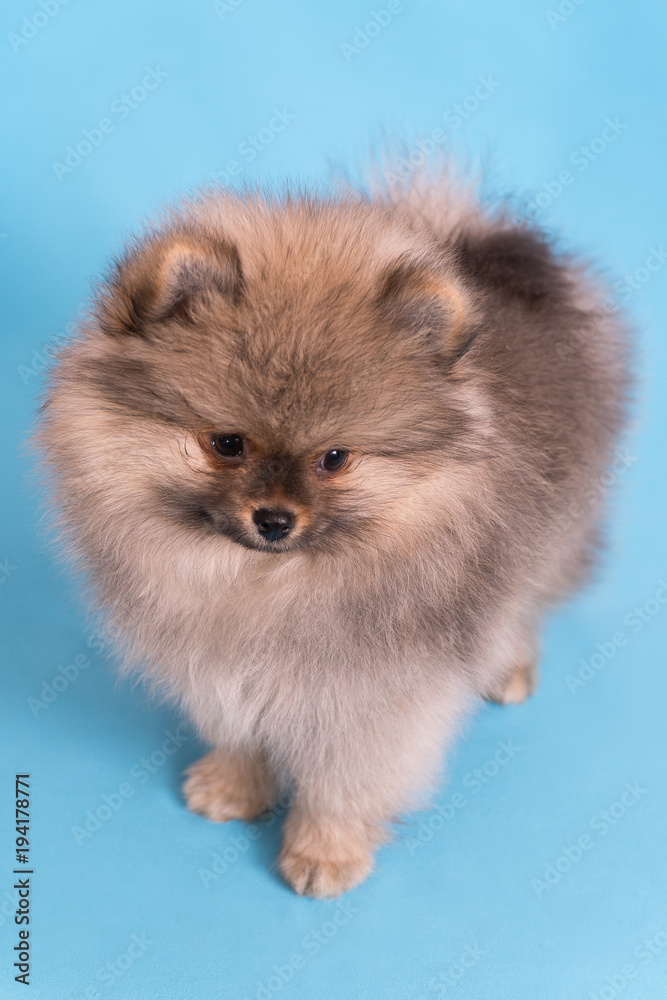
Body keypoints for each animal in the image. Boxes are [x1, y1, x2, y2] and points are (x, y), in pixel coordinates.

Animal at [39, 164, 636, 900]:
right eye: (227, 443)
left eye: (334, 458)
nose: (274, 519)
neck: (263, 582)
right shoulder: (212, 659)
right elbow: (238, 726)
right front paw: (235, 785)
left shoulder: (375, 693)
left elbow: (345, 777)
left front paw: (325, 849)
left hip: (553, 536)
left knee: (524, 602)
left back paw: (509, 665)